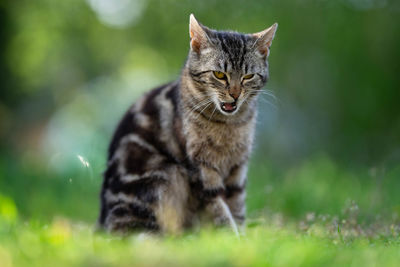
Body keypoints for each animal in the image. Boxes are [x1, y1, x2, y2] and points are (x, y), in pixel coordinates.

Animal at [97, 14, 278, 236]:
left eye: (248, 76)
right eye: (219, 75)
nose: (235, 95)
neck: (229, 125)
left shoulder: (238, 169)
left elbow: (237, 209)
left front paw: (243, 239)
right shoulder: (201, 172)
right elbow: (221, 212)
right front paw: (231, 238)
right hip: (165, 175)